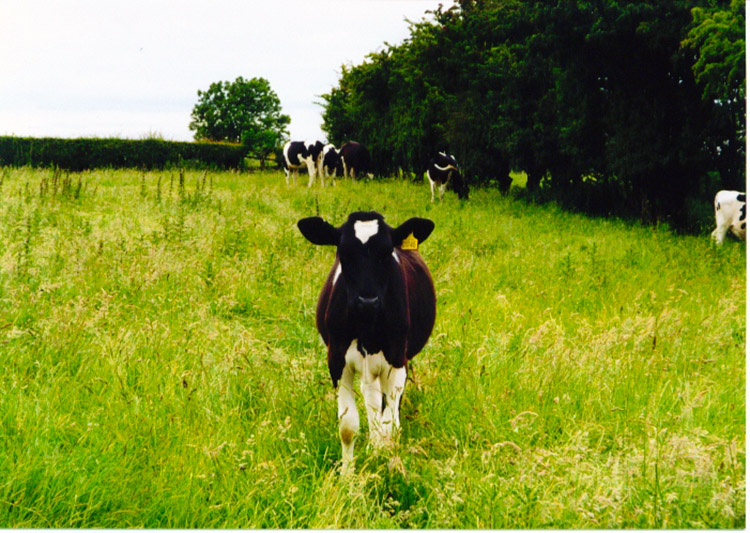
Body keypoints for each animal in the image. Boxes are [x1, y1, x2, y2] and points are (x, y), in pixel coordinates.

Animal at [298, 210, 440, 472]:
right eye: (344, 253)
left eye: (386, 253)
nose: (367, 300)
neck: (367, 327)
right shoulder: (336, 360)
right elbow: (348, 426)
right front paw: (347, 475)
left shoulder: (397, 359)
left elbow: (389, 423)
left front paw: (385, 459)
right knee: (372, 400)